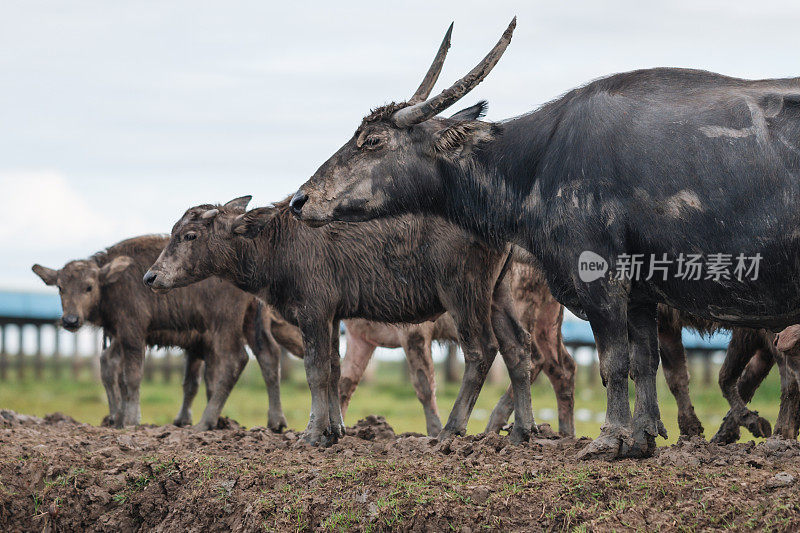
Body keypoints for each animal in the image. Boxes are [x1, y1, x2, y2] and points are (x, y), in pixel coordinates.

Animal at [31, 235, 304, 430]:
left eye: (88, 287)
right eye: (60, 288)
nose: (70, 320)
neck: (112, 282)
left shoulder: (133, 331)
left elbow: (132, 375)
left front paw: (131, 419)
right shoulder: (118, 333)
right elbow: (110, 366)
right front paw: (115, 417)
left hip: (225, 322)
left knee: (236, 359)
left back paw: (206, 422)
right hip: (251, 319)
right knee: (268, 356)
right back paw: (276, 422)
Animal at [142, 195, 536, 444]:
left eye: (190, 235)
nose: (151, 277)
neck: (278, 243)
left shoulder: (313, 312)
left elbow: (315, 371)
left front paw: (312, 434)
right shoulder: (332, 317)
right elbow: (333, 369)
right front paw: (335, 430)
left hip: (463, 293)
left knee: (481, 350)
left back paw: (451, 430)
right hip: (497, 294)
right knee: (519, 347)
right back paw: (522, 431)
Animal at [290, 17, 800, 458]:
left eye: (372, 140)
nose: (300, 199)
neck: (538, 160)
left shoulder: (599, 279)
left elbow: (613, 361)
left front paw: (610, 440)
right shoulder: (641, 293)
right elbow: (644, 361)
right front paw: (641, 440)